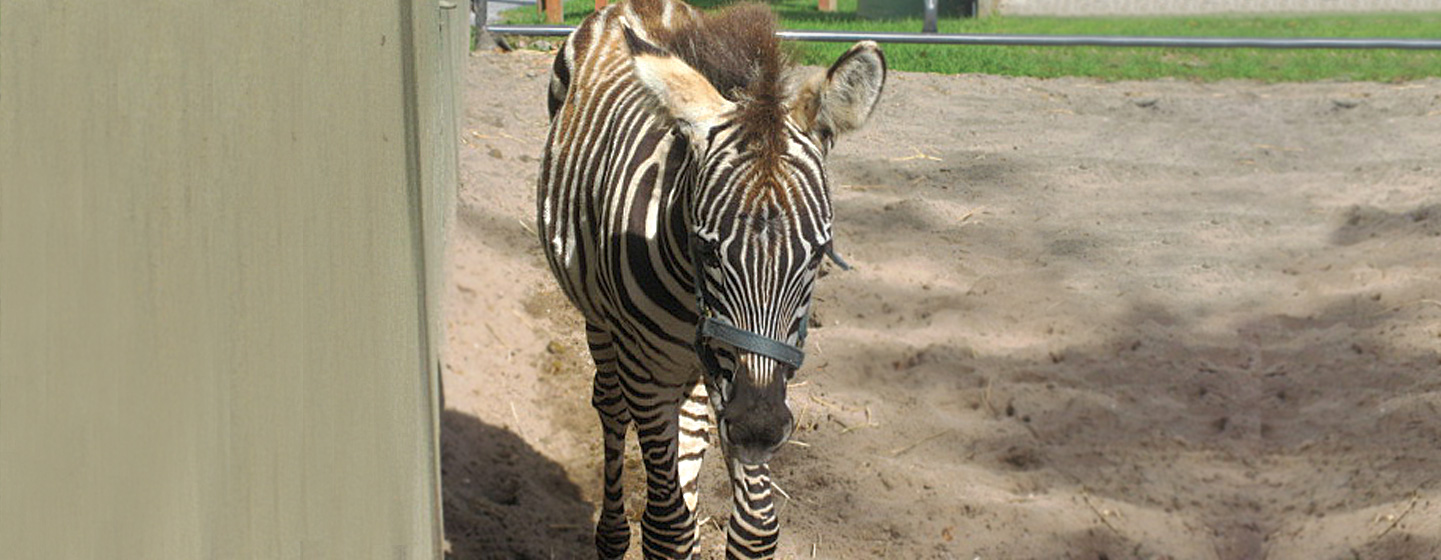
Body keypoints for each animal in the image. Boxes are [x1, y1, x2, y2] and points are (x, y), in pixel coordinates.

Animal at [538, 1, 881, 552]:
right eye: (706, 248)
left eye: (818, 255)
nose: (759, 429)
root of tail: (636, 6)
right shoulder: (648, 374)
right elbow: (668, 529)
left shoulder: (742, 379)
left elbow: (757, 527)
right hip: (602, 324)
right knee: (609, 406)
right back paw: (611, 535)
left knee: (690, 427)